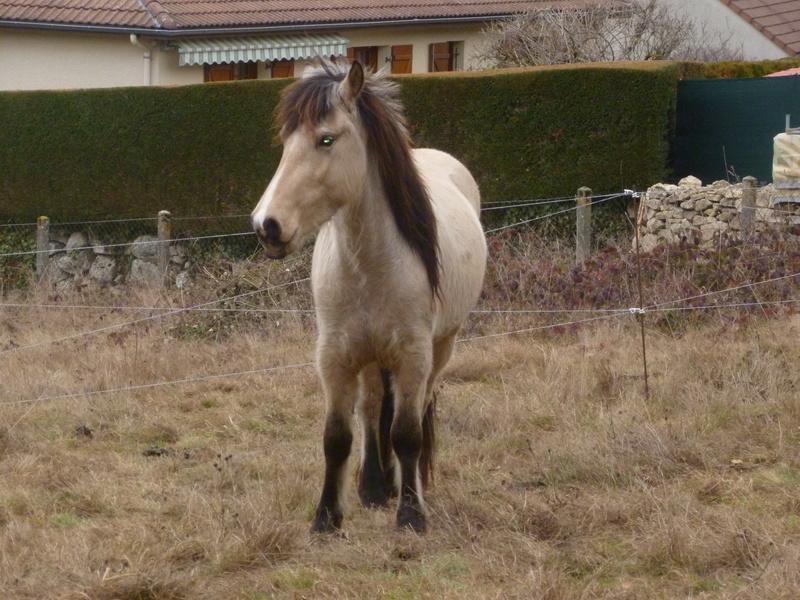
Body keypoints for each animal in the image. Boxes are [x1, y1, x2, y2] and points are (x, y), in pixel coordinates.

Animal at [253, 58, 484, 532]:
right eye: (286, 142)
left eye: (326, 139)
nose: (267, 226)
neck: (369, 266)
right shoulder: (334, 357)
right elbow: (337, 436)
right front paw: (327, 516)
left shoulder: (414, 355)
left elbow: (407, 434)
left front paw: (411, 513)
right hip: (371, 355)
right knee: (373, 407)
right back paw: (374, 486)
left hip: (441, 347)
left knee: (416, 408)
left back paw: (405, 485)